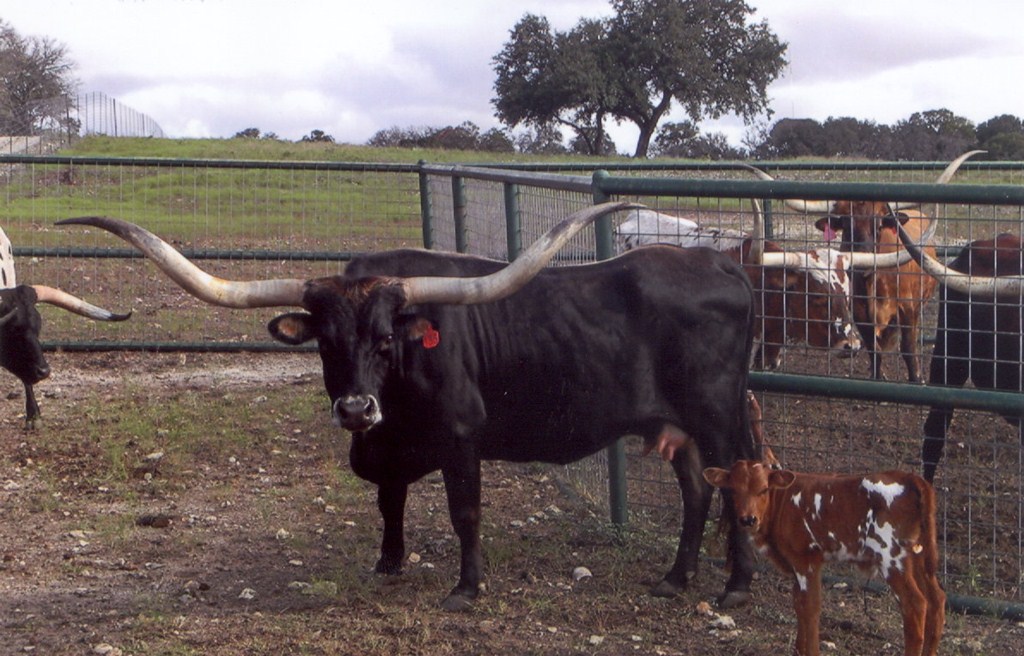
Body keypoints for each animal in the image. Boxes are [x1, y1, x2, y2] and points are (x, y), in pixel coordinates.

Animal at [58, 203, 764, 611]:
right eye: (326, 342)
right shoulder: (385, 449)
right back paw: (676, 578)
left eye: (385, 339)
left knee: (736, 483)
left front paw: (466, 589)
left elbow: (464, 512)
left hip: (717, 414)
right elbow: (388, 503)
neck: (393, 405)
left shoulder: (461, 437)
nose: (354, 409)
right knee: (697, 489)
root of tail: (720, 265)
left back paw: (736, 587)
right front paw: (388, 564)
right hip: (679, 425)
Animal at [704, 461, 945, 656]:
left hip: (892, 560)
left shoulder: (806, 560)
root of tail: (910, 477)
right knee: (936, 599)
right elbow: (799, 605)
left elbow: (810, 608)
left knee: (915, 604)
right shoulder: (795, 564)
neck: (781, 502)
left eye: (764, 489)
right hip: (919, 557)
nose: (748, 519)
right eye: (733, 490)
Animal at [745, 150, 983, 382]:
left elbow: (908, 350)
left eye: (879, 225)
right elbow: (874, 351)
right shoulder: (860, 314)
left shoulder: (908, 309)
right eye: (845, 224)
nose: (862, 263)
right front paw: (876, 375)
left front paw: (916, 378)